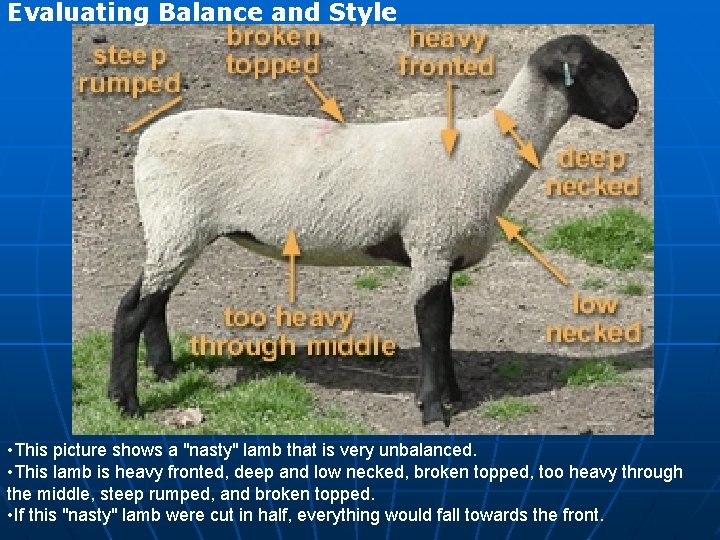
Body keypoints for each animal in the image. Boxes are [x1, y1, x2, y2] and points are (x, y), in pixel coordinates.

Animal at [109, 34, 638, 426]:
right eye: (593, 70)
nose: (631, 110)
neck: (485, 155)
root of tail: (148, 139)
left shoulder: (441, 251)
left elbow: (446, 324)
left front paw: (454, 393)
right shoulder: (430, 243)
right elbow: (431, 327)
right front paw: (432, 408)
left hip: (174, 227)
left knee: (149, 300)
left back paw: (164, 370)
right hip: (178, 222)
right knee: (132, 310)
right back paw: (126, 401)